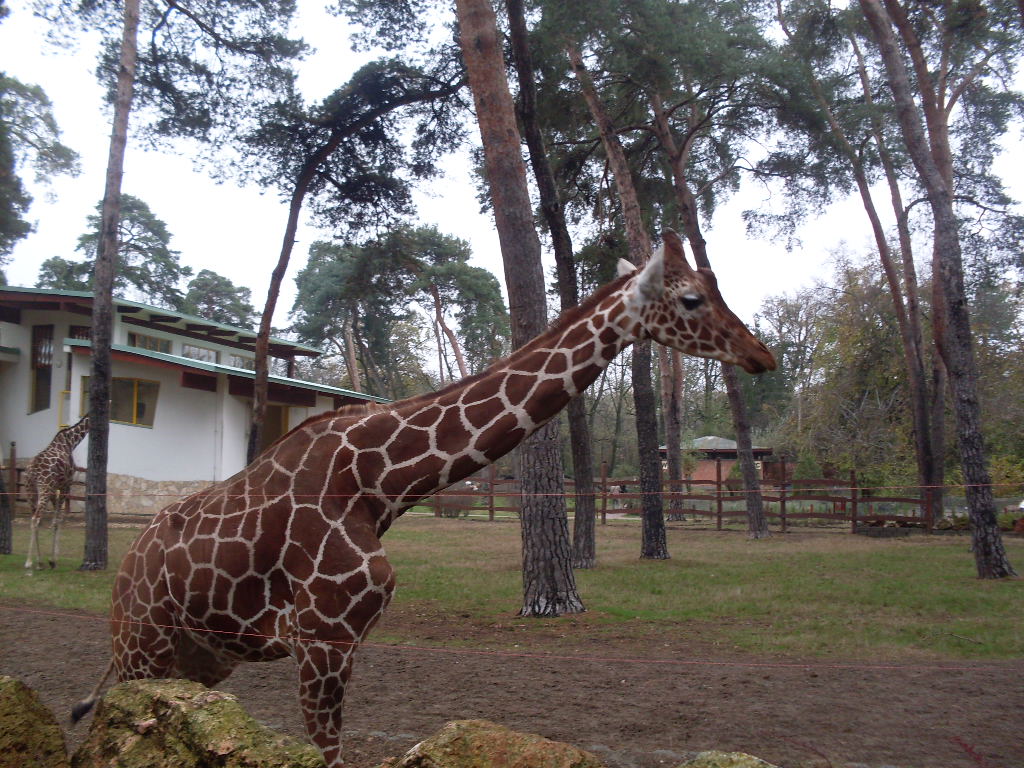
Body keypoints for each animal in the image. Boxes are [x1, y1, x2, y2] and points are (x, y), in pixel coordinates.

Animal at [23, 415, 89, 572]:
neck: (70, 441)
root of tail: (32, 469)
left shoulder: (54, 490)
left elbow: (55, 520)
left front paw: (50, 560)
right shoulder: (65, 485)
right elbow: (57, 521)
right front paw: (53, 560)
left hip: (31, 491)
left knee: (33, 519)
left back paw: (39, 562)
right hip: (44, 488)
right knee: (36, 518)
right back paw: (29, 562)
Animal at [73, 232, 775, 765]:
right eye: (692, 297)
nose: (761, 355)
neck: (376, 483)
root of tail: (124, 572)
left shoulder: (329, 645)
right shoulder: (323, 639)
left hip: (199, 661)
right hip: (143, 650)